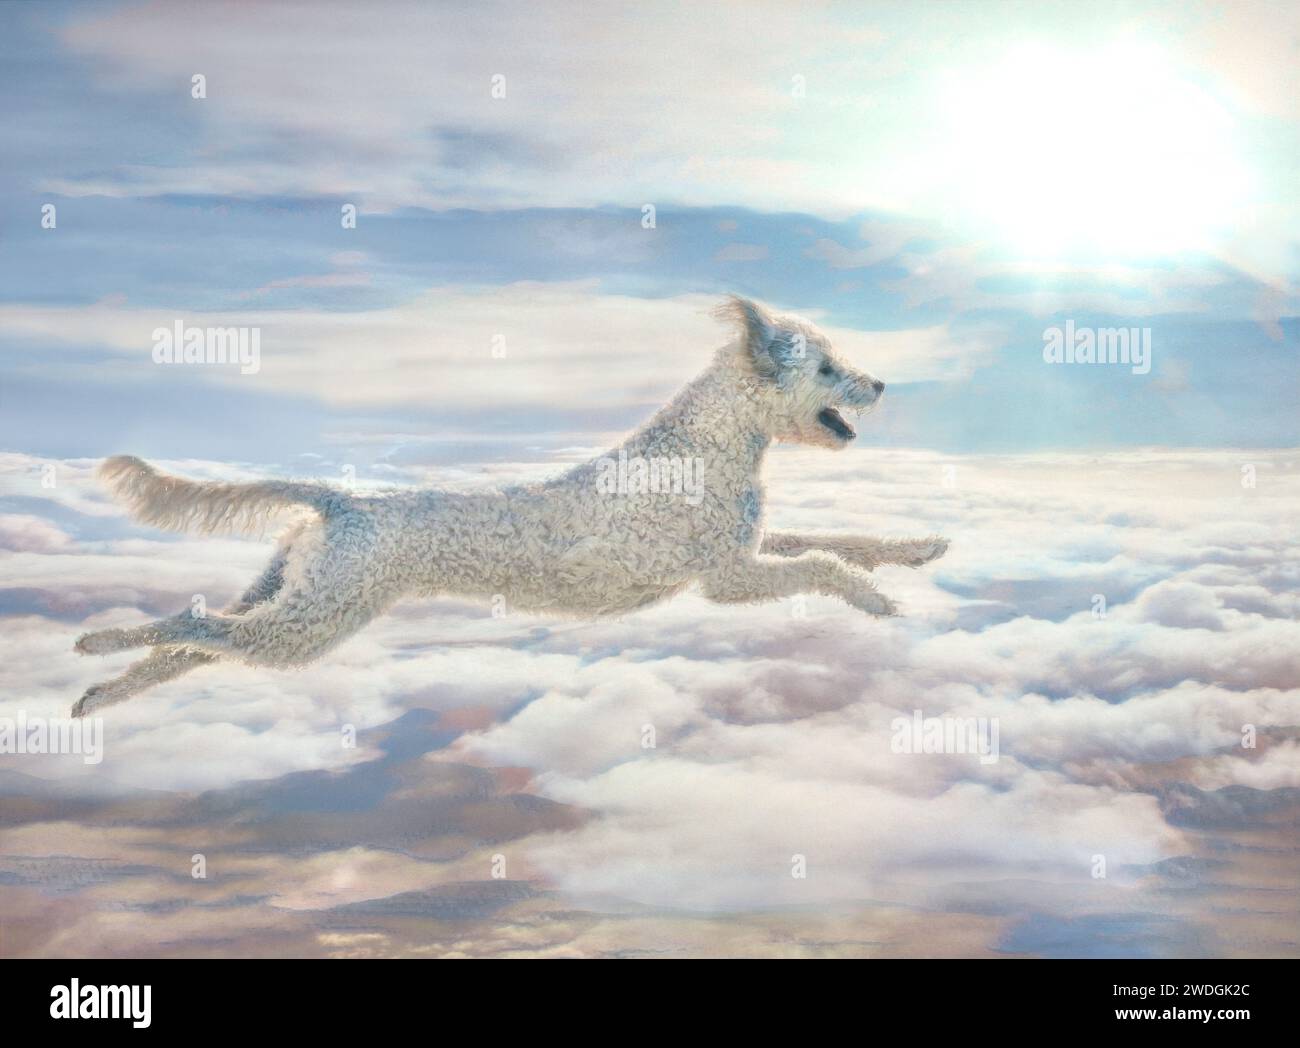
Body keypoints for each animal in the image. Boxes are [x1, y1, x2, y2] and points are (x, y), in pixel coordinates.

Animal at [71, 299, 946, 717]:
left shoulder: (745, 552)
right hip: (315, 620)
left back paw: (96, 692)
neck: (708, 445)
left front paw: (917, 550)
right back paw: (93, 648)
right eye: (827, 367)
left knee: (198, 638)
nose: (879, 383)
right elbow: (824, 563)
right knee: (196, 628)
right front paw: (876, 600)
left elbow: (837, 535)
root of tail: (341, 501)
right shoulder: (727, 578)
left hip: (290, 596)